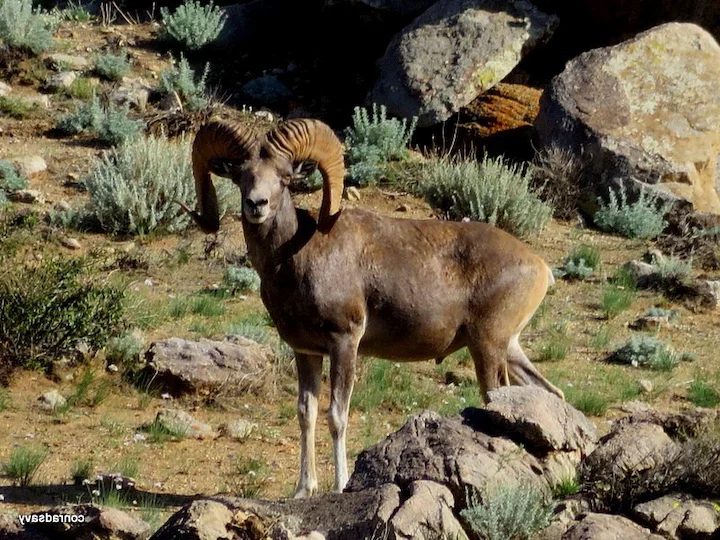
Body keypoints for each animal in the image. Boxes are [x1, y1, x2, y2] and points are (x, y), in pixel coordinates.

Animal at [179, 118, 564, 498]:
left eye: (285, 176)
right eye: (240, 174)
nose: (256, 204)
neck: (295, 255)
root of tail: (540, 266)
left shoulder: (345, 342)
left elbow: (337, 415)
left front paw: (340, 486)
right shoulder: (306, 352)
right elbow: (306, 413)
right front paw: (303, 490)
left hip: (488, 347)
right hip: (507, 349)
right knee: (550, 393)